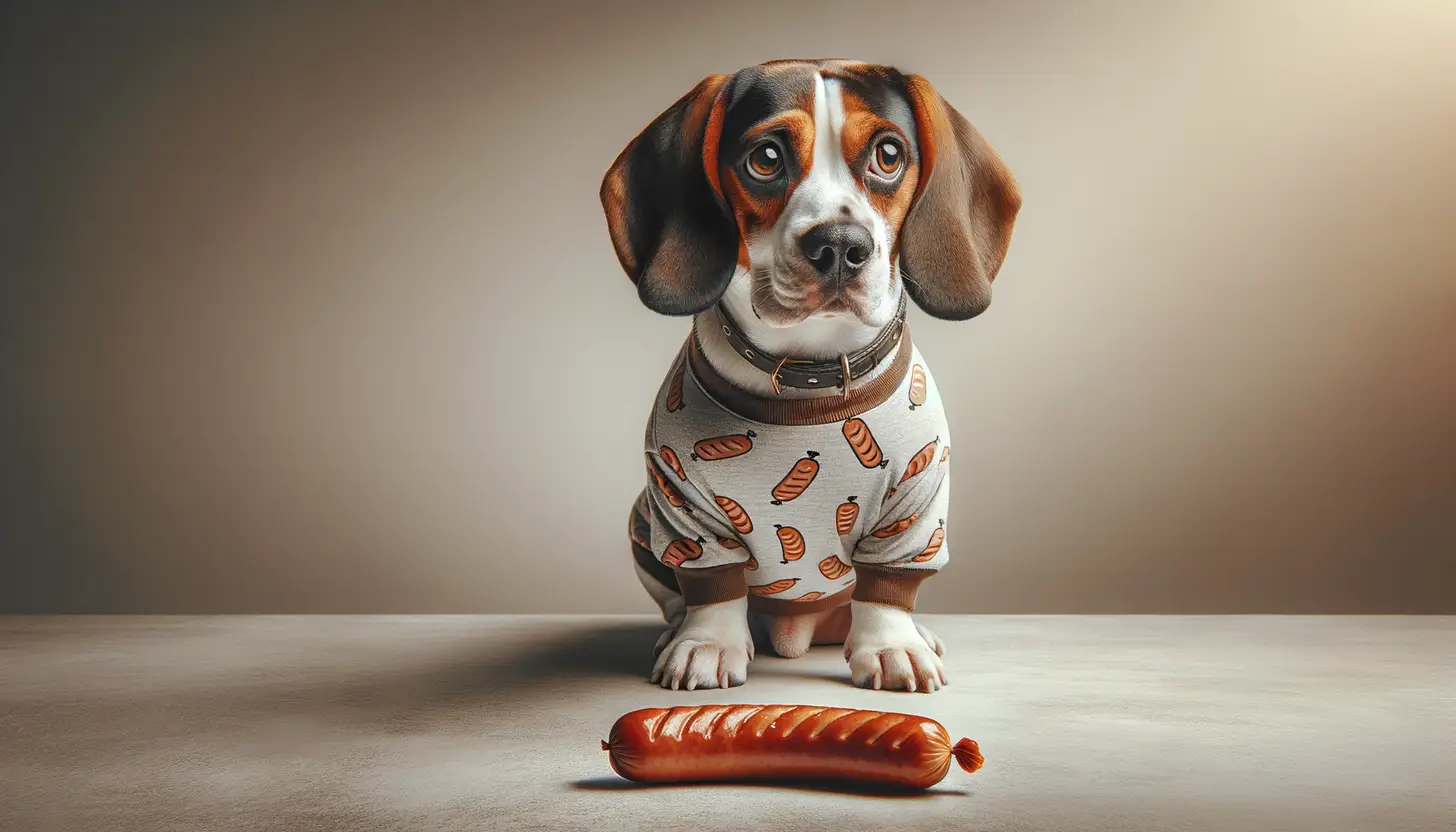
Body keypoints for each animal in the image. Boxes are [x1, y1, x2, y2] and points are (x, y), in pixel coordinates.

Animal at [596, 60, 1019, 696]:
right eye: (766, 158)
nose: (841, 246)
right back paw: (679, 631)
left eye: (888, 155)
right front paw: (707, 645)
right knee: (679, 598)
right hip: (642, 522)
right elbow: (712, 587)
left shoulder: (917, 506)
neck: (808, 377)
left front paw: (892, 646)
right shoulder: (681, 504)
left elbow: (888, 588)